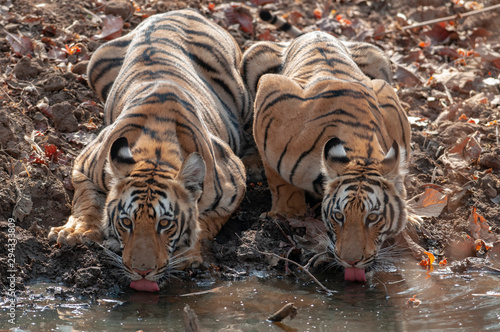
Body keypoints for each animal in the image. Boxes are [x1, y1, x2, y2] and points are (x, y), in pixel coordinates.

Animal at [49, 9, 252, 292]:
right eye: (126, 222)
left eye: (164, 224)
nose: (142, 272)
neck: (157, 152)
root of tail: (180, 10)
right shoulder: (84, 164)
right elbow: (86, 200)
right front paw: (75, 232)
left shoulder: (235, 187)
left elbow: (206, 221)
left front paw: (188, 252)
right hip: (95, 63)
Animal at [240, 29, 412, 282]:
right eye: (338, 216)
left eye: (373, 218)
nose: (352, 261)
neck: (360, 148)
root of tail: (313, 32)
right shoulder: (270, 96)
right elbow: (278, 180)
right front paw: (287, 212)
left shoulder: (388, 98)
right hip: (254, 56)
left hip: (380, 60)